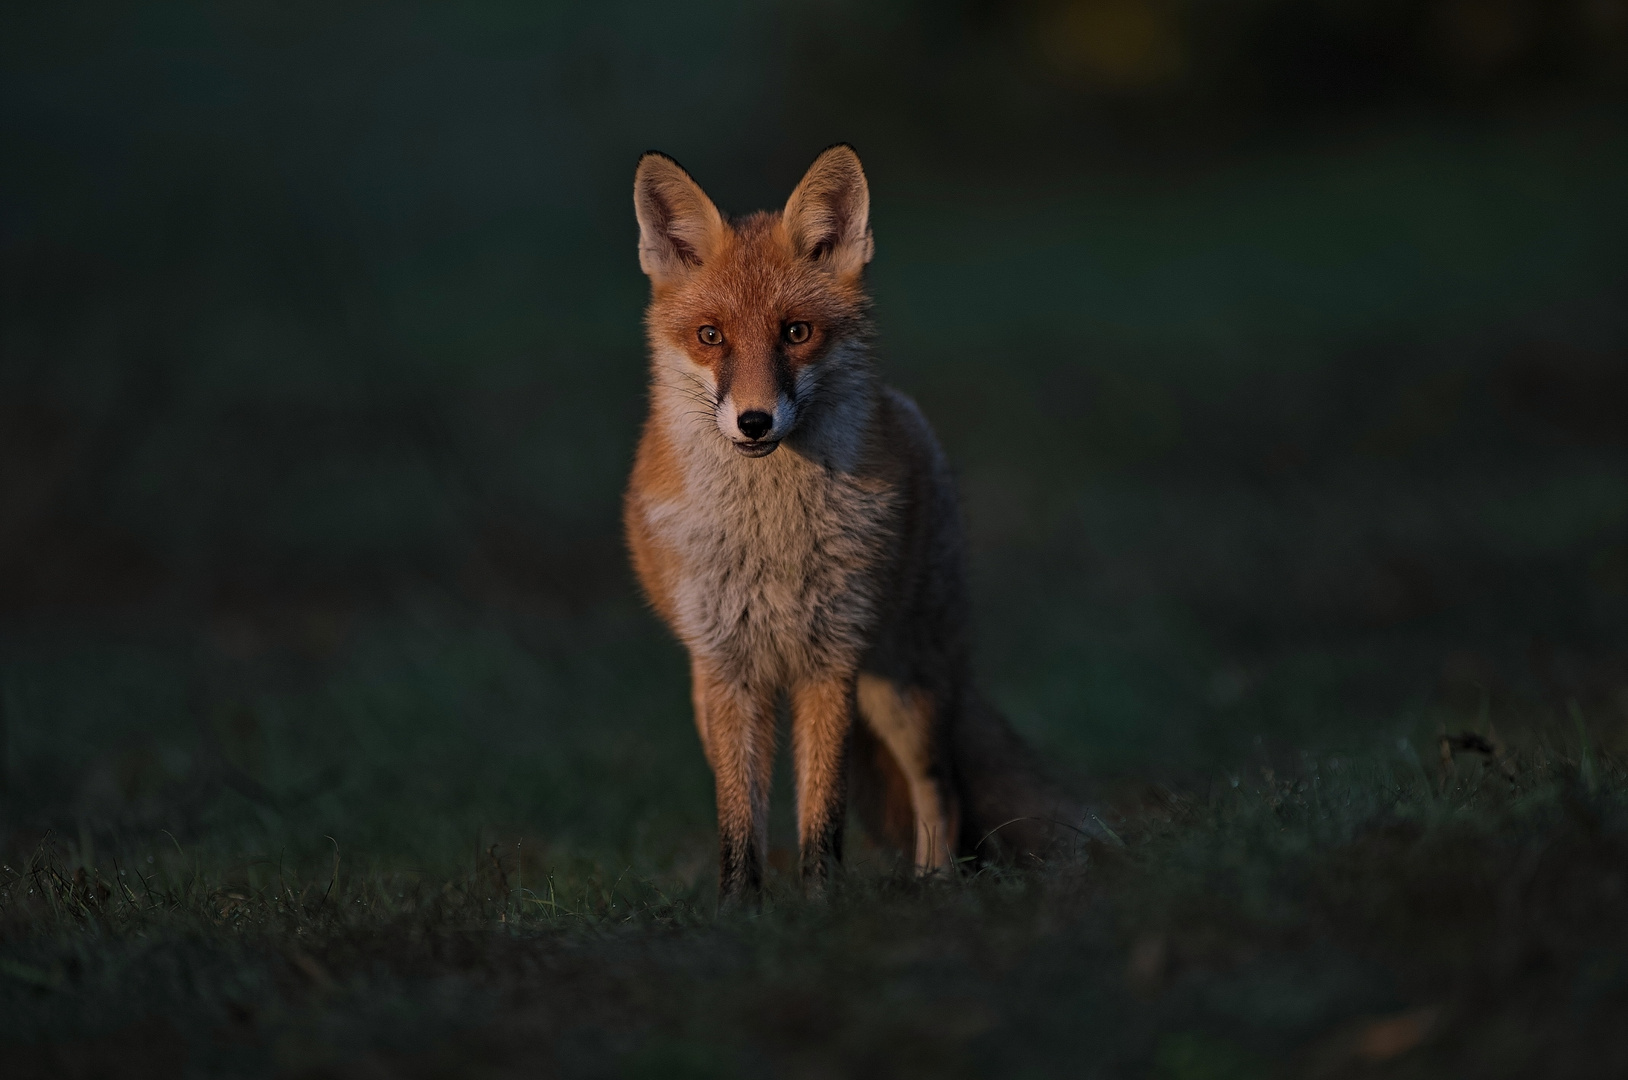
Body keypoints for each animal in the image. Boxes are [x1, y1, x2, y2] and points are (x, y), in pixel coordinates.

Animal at [621, 143, 1080, 905]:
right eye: (711, 336)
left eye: (797, 333)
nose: (754, 421)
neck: (772, 540)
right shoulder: (730, 669)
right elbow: (739, 821)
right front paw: (741, 910)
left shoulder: (830, 660)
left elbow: (823, 815)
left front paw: (819, 906)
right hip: (714, 694)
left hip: (906, 687)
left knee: (941, 789)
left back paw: (936, 884)